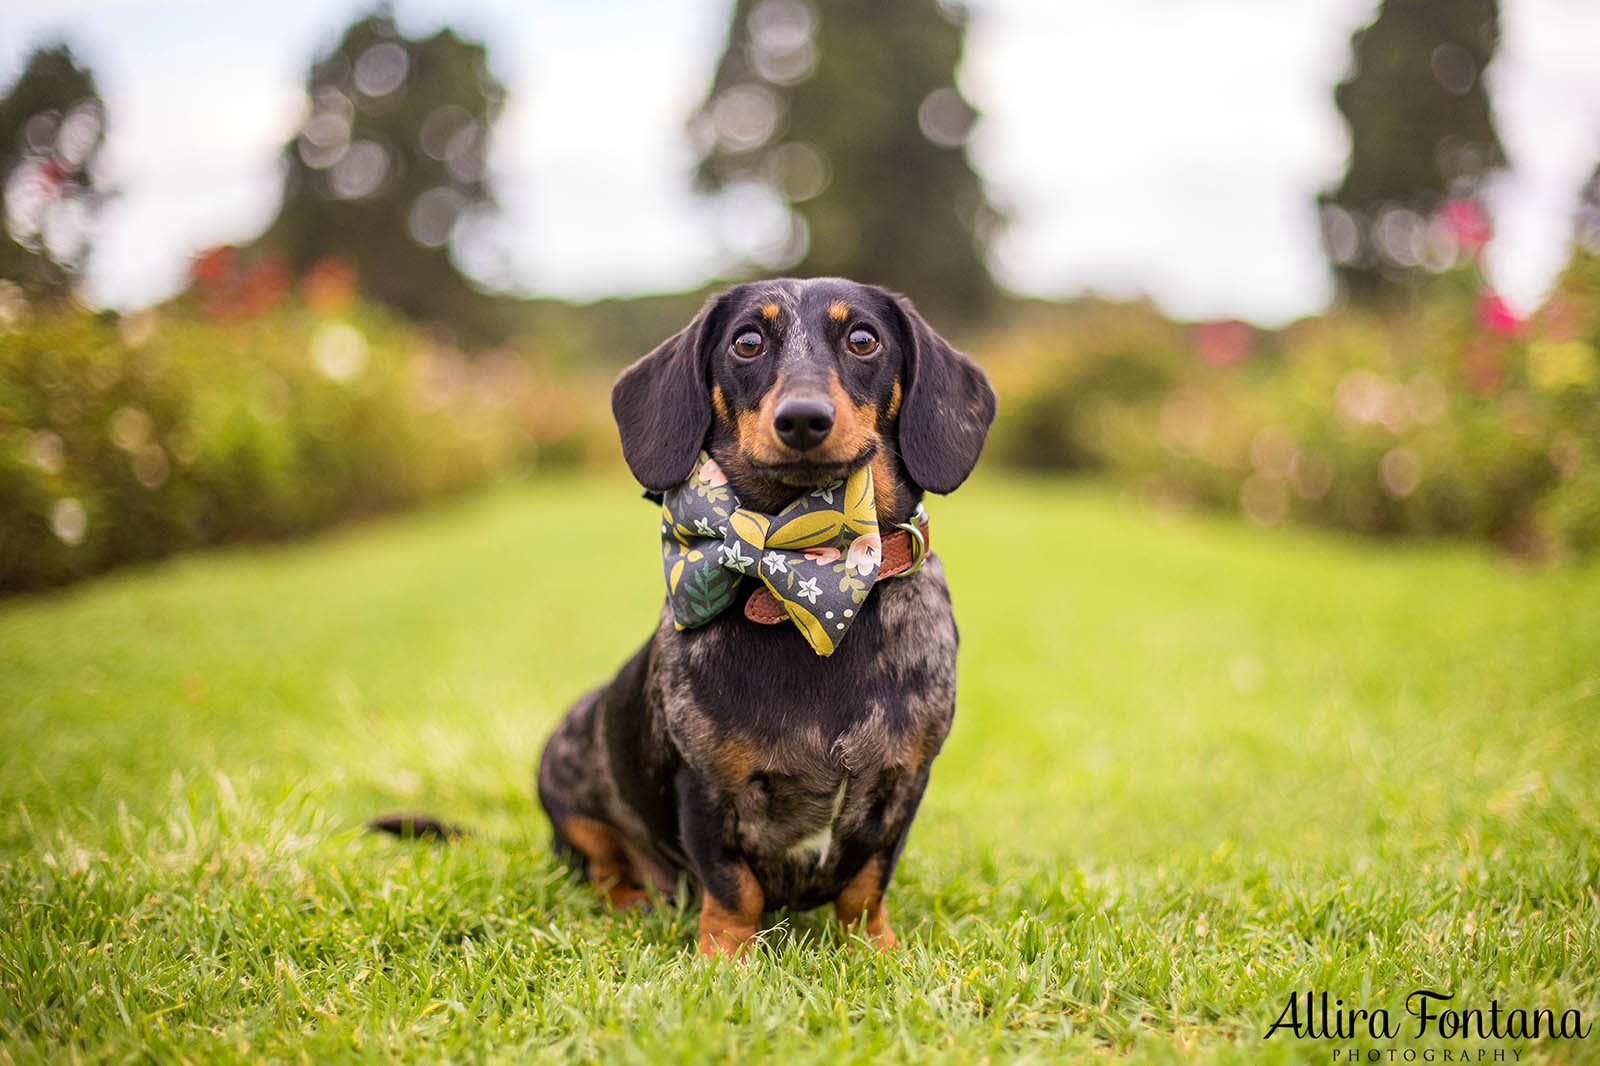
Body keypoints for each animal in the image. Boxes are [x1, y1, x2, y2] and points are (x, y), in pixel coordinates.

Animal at [537, 273, 985, 953]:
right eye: (746, 342)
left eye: (864, 339)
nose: (802, 419)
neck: (805, 574)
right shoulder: (706, 788)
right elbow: (732, 889)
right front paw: (724, 957)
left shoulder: (906, 782)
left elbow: (867, 882)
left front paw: (876, 949)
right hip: (569, 795)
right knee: (605, 862)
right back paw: (631, 902)